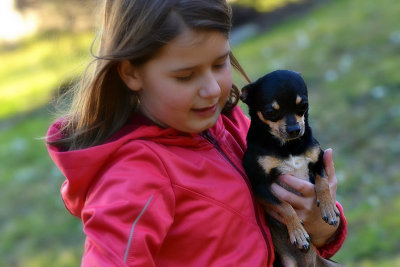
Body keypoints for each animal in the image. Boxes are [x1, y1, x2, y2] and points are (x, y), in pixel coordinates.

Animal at [239, 70, 346, 266]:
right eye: (270, 112)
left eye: (304, 105)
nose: (295, 129)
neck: (287, 146)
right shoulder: (260, 186)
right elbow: (284, 205)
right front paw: (298, 232)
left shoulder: (319, 161)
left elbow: (322, 183)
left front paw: (328, 207)